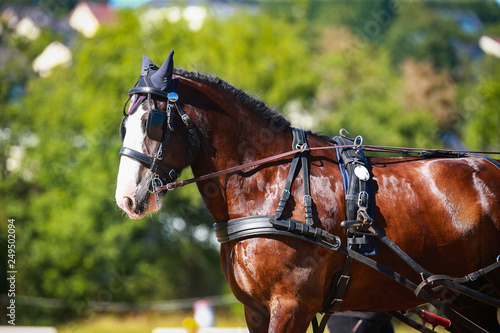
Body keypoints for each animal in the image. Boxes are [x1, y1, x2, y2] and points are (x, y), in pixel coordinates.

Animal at [114, 50, 500, 330]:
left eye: (152, 121)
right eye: (124, 124)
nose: (126, 198)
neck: (269, 186)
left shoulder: (292, 306)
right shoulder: (256, 311)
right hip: (465, 300)